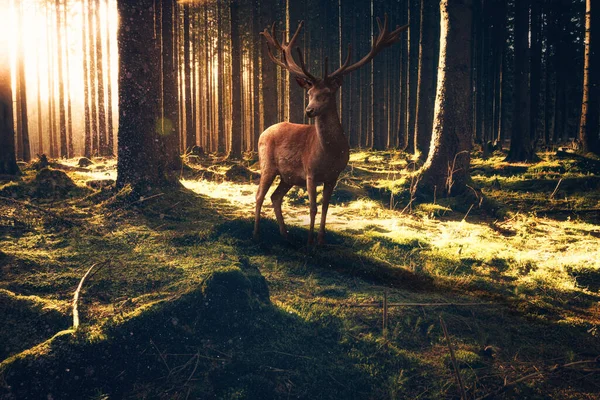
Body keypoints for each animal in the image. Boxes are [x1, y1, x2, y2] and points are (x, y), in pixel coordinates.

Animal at [253, 15, 408, 245]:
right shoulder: (309, 172)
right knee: (259, 195)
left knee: (275, 196)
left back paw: (285, 234)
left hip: (288, 176)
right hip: (268, 165)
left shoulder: (334, 176)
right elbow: (313, 208)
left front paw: (321, 240)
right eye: (309, 93)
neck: (329, 153)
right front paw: (309, 242)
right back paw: (257, 232)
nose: (309, 110)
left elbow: (326, 207)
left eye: (327, 93)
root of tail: (264, 132)